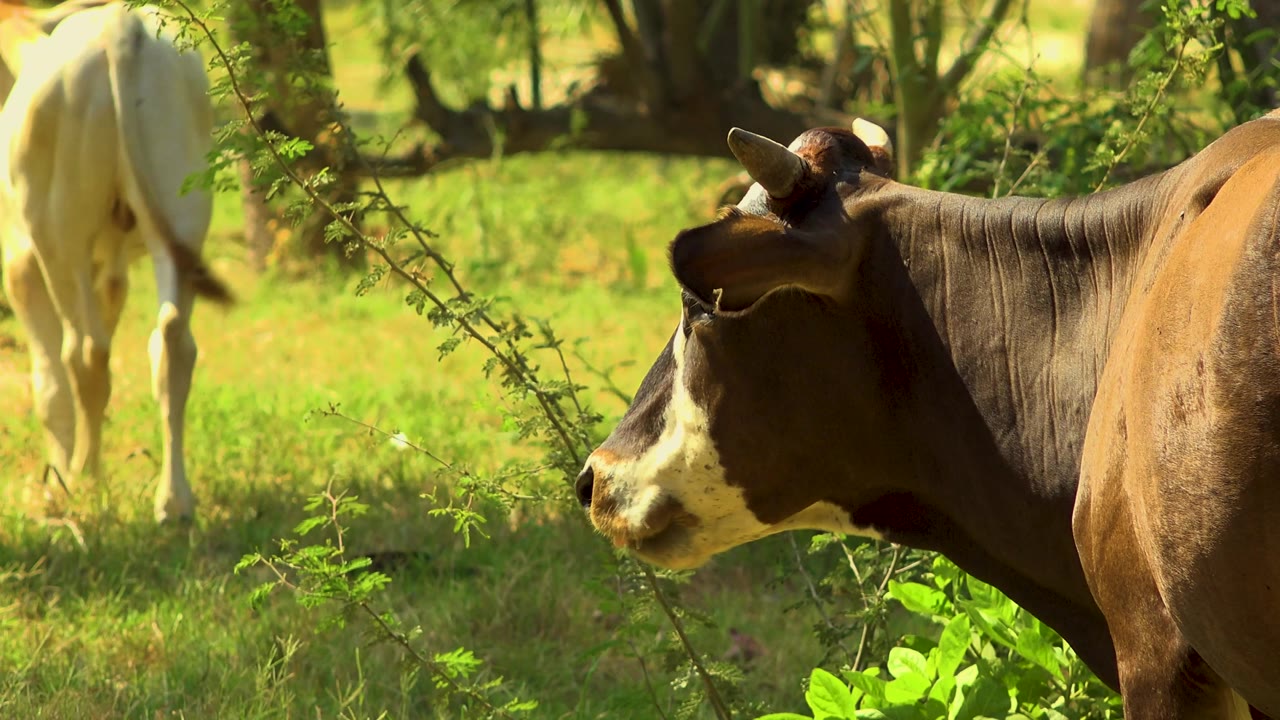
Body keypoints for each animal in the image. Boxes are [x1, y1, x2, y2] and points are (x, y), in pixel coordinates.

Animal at [0, 3, 230, 522]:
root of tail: (117, 25)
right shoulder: (112, 267)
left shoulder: (19, 261)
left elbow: (49, 386)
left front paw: (55, 485)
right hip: (184, 213)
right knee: (172, 342)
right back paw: (173, 501)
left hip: (58, 232)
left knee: (84, 352)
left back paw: (84, 481)